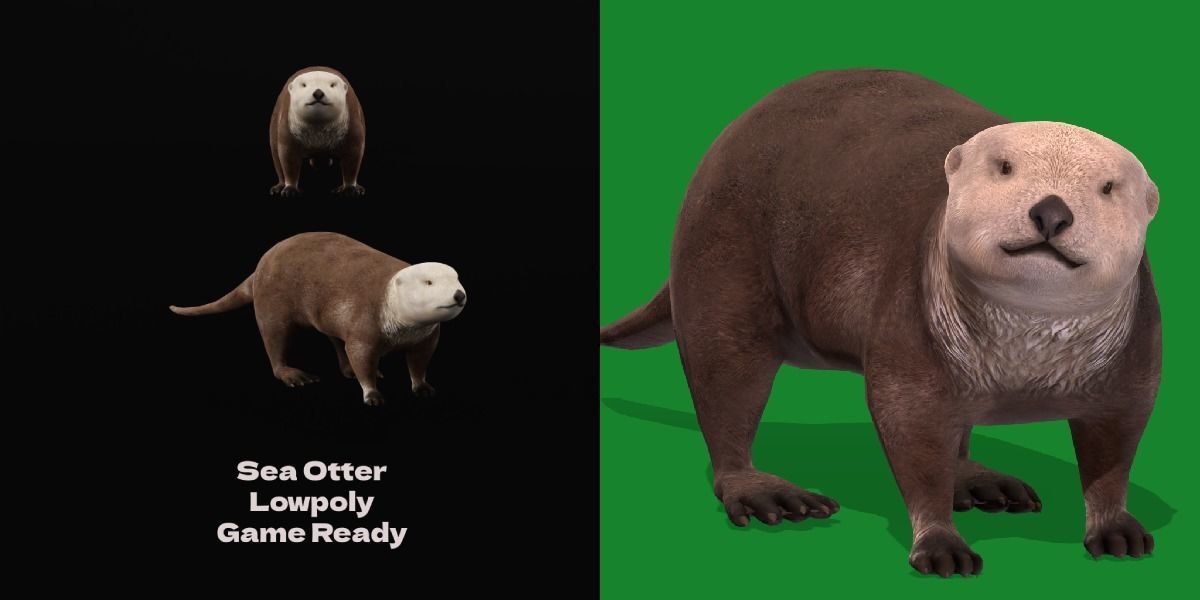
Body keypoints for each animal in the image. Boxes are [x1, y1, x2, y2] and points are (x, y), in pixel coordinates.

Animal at [171, 232, 466, 405]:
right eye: (428, 282)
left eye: (456, 278)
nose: (459, 294)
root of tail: (260, 267)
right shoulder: (365, 323)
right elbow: (361, 358)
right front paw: (371, 393)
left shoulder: (427, 337)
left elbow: (418, 363)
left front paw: (422, 386)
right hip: (271, 303)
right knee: (274, 342)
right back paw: (294, 375)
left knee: (336, 342)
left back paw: (346, 370)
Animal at [600, 69, 1161, 576]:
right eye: (1004, 167)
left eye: (1108, 187)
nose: (1051, 211)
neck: (1024, 363)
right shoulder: (909, 326)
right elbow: (911, 434)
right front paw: (940, 544)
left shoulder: (1134, 356)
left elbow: (1116, 446)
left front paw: (1116, 528)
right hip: (722, 252)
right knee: (725, 382)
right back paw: (767, 494)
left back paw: (976, 479)